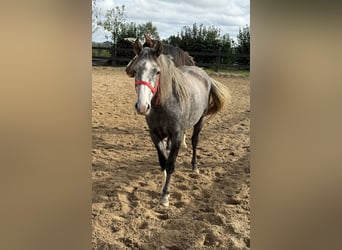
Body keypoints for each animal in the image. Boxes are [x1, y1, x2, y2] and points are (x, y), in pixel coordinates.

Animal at [132, 39, 231, 207]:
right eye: (137, 69)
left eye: (157, 71)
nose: (142, 107)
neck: (164, 105)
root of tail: (205, 75)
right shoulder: (154, 135)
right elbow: (163, 161)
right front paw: (163, 185)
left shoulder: (177, 135)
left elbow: (170, 164)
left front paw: (165, 195)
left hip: (200, 121)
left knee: (195, 141)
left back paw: (194, 166)